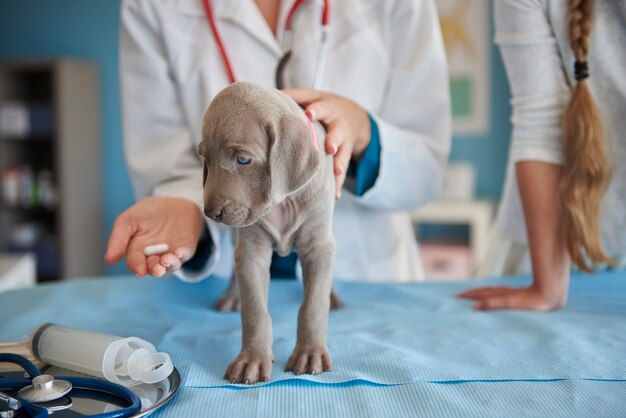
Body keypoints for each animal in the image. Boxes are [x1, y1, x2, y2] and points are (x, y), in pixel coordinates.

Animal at [200, 82, 336, 386]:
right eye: (205, 158)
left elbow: (313, 305)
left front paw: (310, 353)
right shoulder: (251, 250)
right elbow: (254, 311)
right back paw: (231, 297)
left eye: (243, 159)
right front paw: (251, 359)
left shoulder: (317, 245)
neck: (283, 202)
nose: (210, 213)